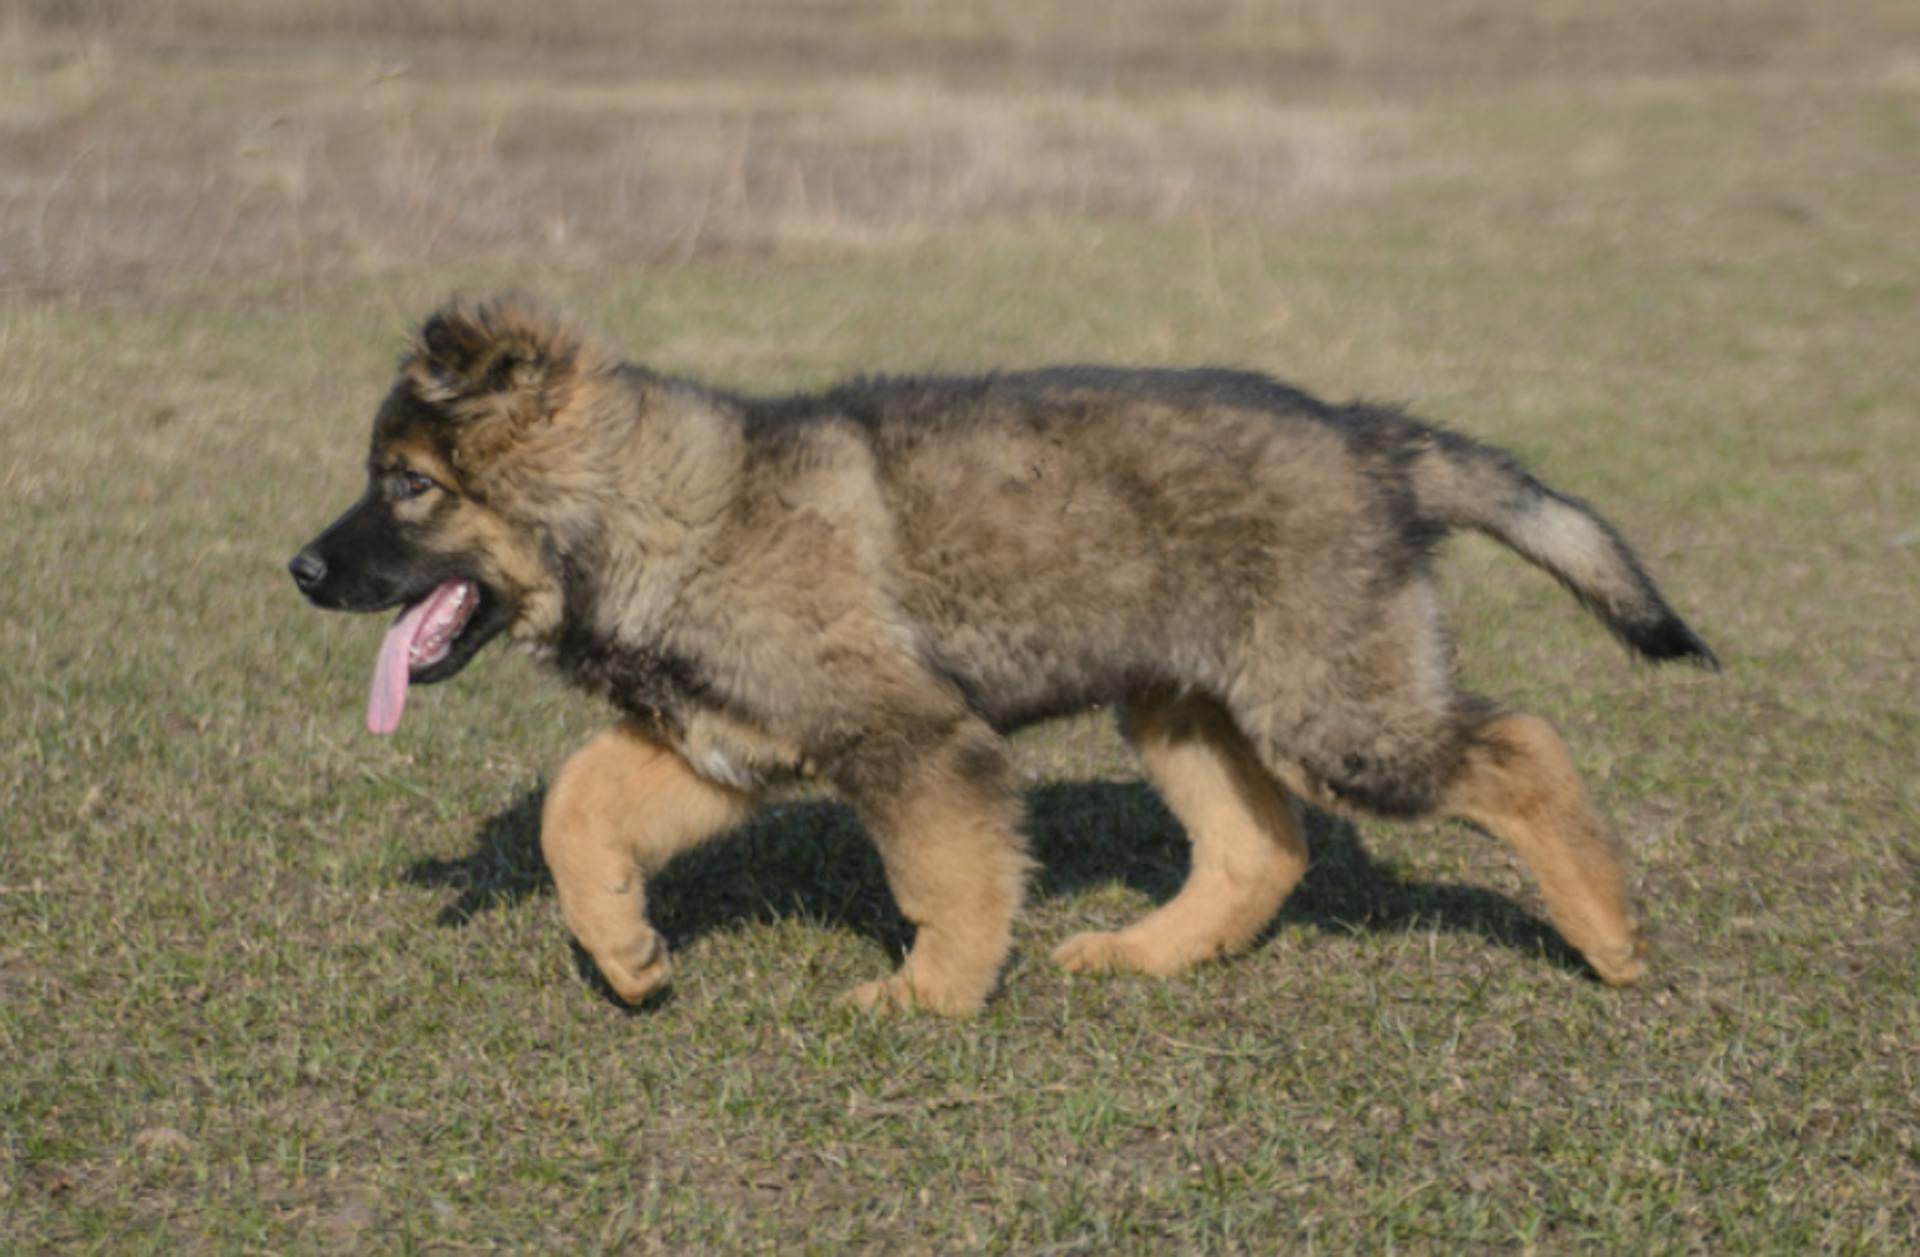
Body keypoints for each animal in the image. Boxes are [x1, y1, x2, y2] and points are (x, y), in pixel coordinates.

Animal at [291, 295, 1720, 1013]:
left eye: (407, 485)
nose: (298, 573)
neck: (659, 512)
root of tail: (1369, 436)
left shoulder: (913, 738)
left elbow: (947, 880)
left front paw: (930, 998)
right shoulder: (720, 746)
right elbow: (578, 811)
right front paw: (629, 957)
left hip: (1335, 709)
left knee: (1519, 748)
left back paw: (1609, 938)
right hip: (1185, 705)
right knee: (1261, 847)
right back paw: (1144, 956)